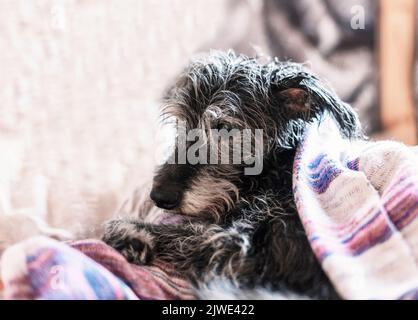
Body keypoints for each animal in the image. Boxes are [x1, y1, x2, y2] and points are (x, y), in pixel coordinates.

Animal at [102, 50, 362, 300]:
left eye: (225, 128)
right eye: (182, 122)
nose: (159, 196)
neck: (274, 173)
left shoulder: (235, 247)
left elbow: (175, 232)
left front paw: (129, 232)